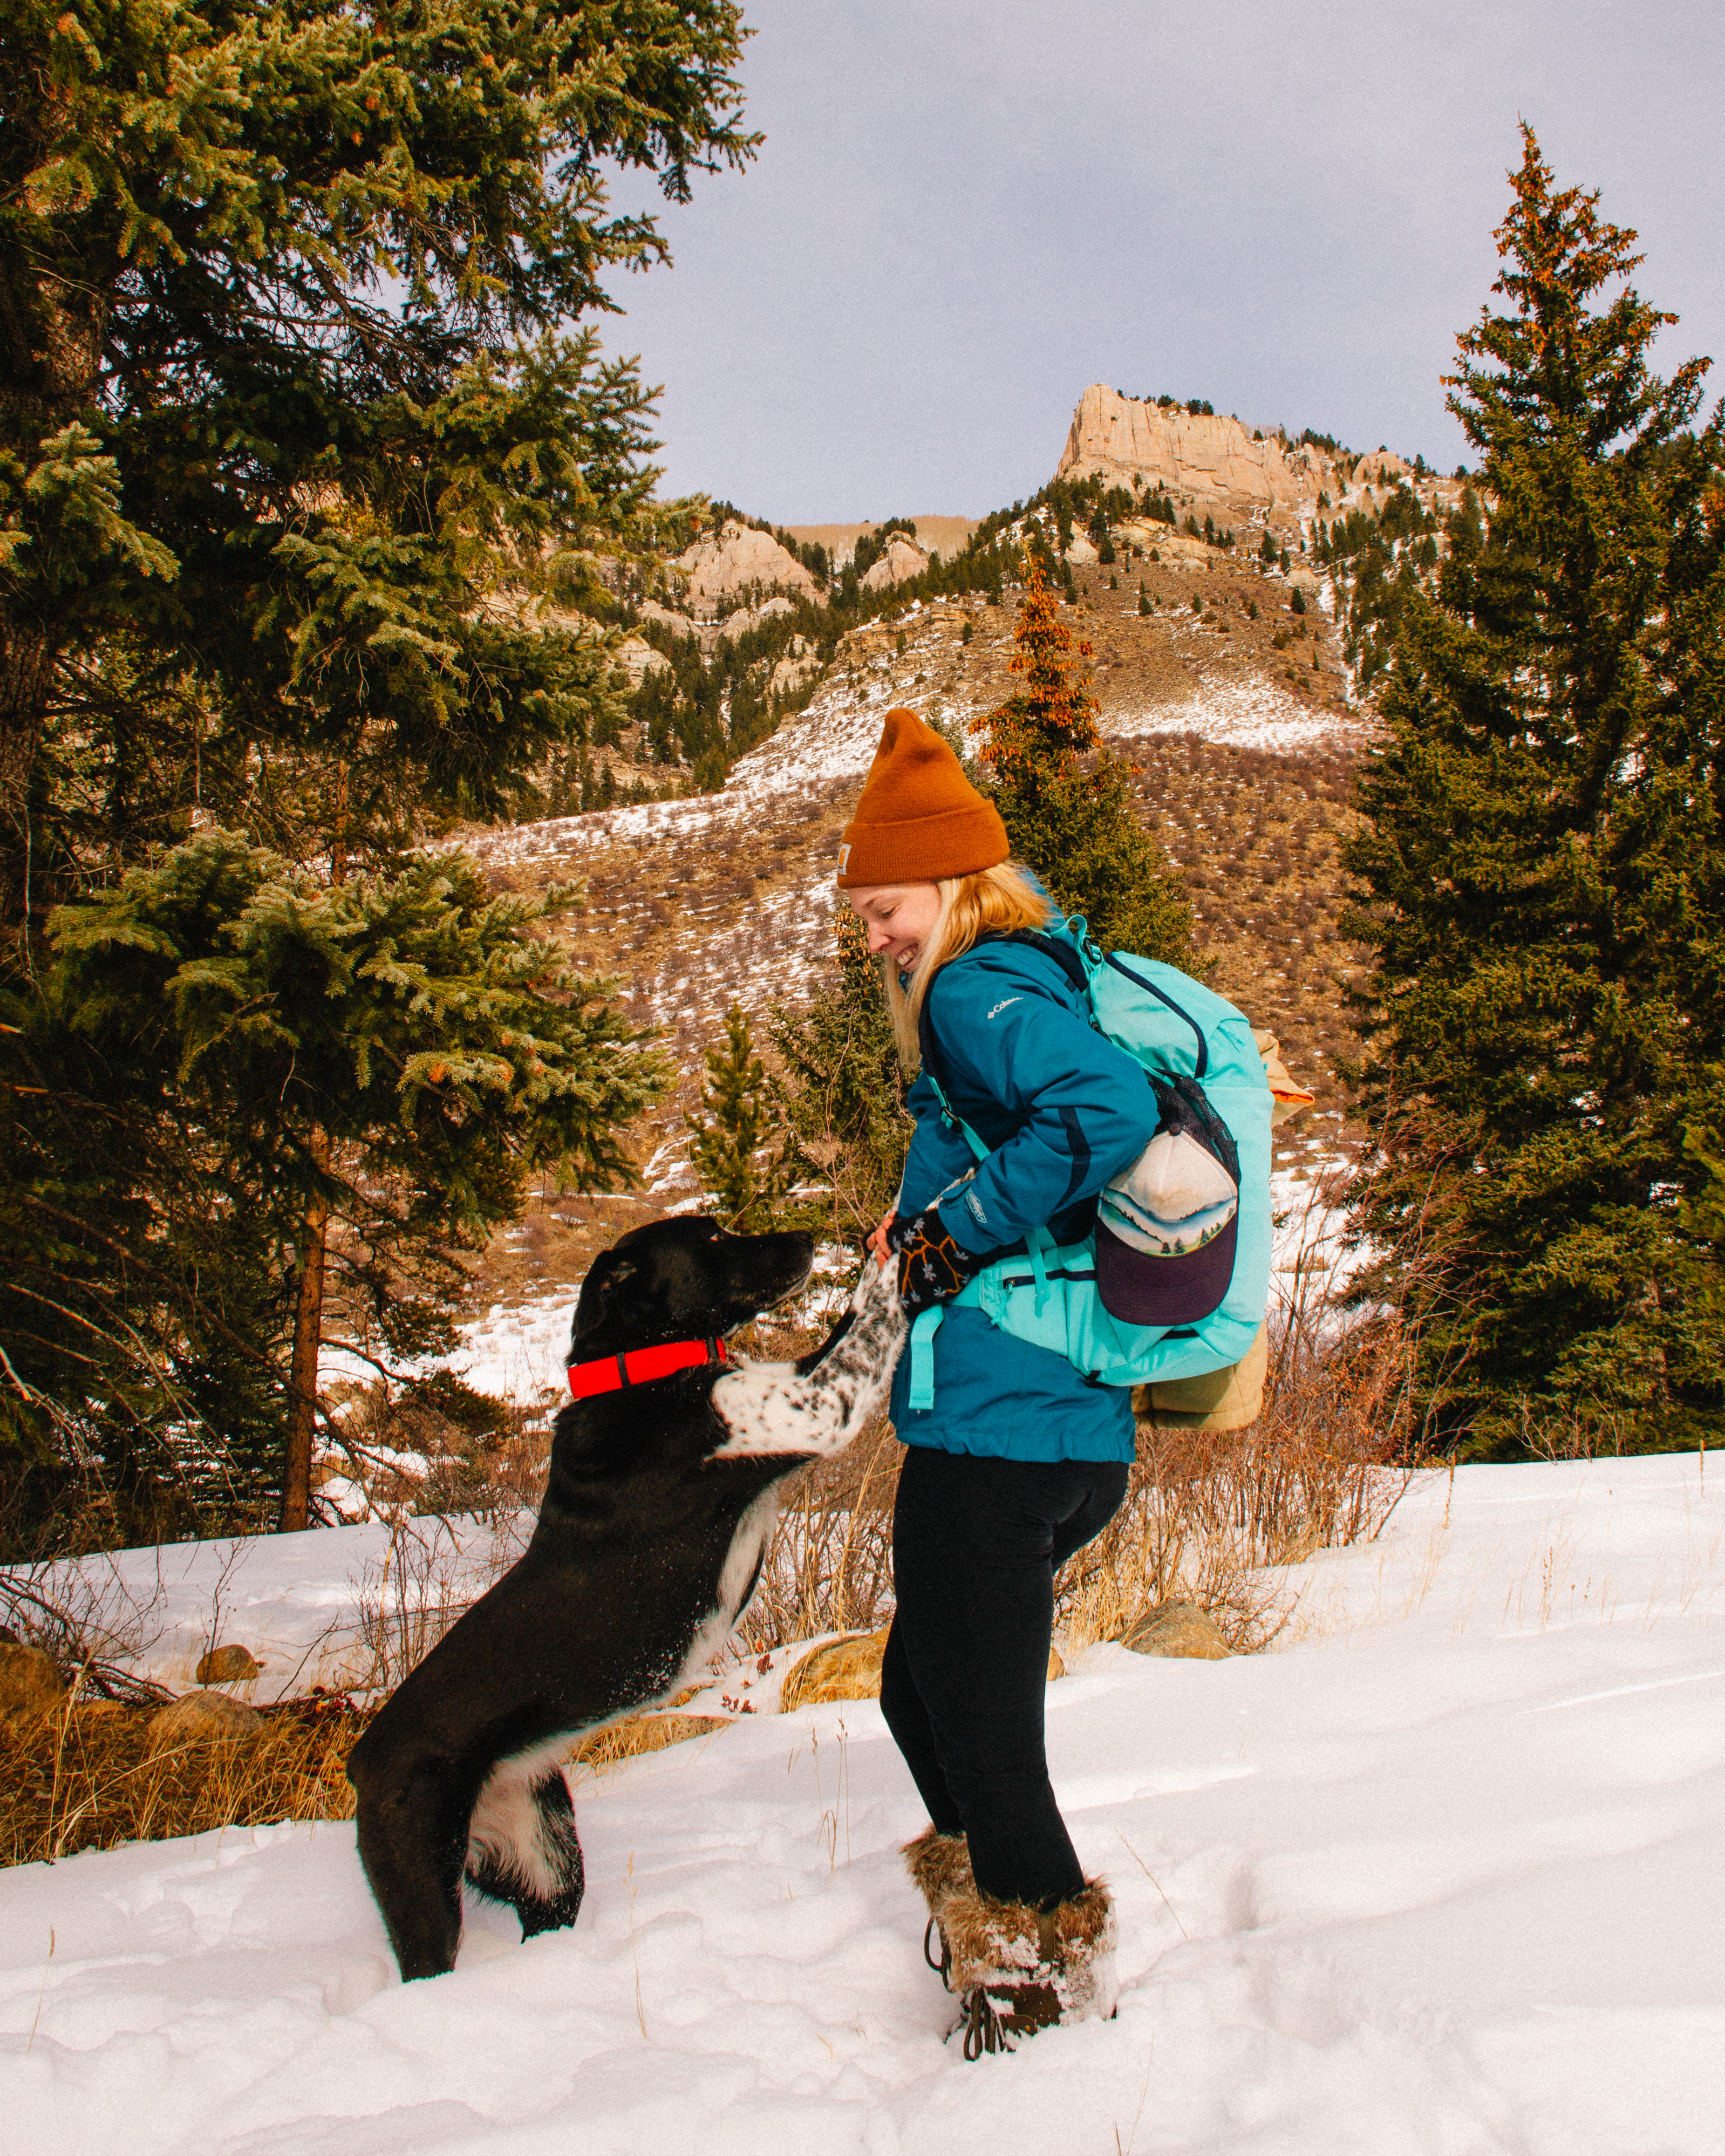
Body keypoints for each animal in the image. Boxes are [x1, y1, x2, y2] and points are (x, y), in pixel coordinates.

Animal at [340, 1224, 901, 1975]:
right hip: (426, 1888)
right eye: (714, 1235)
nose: (808, 1238)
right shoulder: (815, 1405)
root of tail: (359, 1764)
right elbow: (872, 1312)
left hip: (546, 1861)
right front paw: (907, 1239)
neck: (639, 1372)